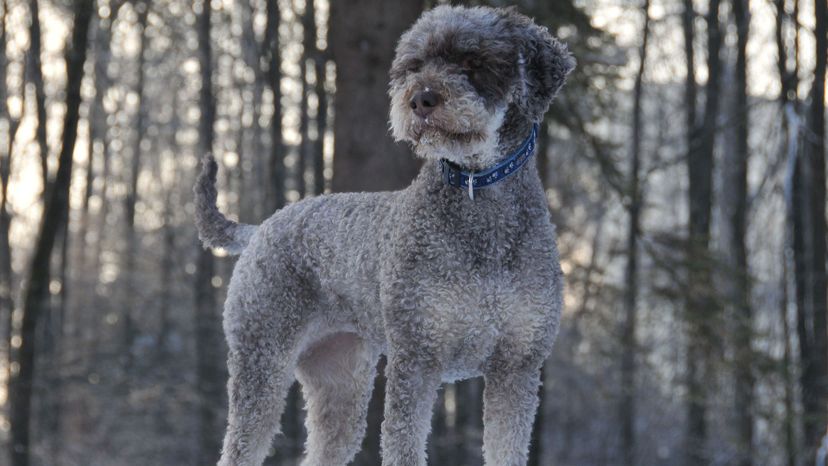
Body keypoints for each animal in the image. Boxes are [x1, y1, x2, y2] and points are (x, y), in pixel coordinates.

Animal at [196, 4, 568, 466]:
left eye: (472, 61)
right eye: (414, 65)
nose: (421, 99)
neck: (479, 200)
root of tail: (261, 227)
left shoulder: (517, 366)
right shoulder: (416, 359)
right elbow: (403, 443)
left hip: (339, 381)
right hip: (262, 362)